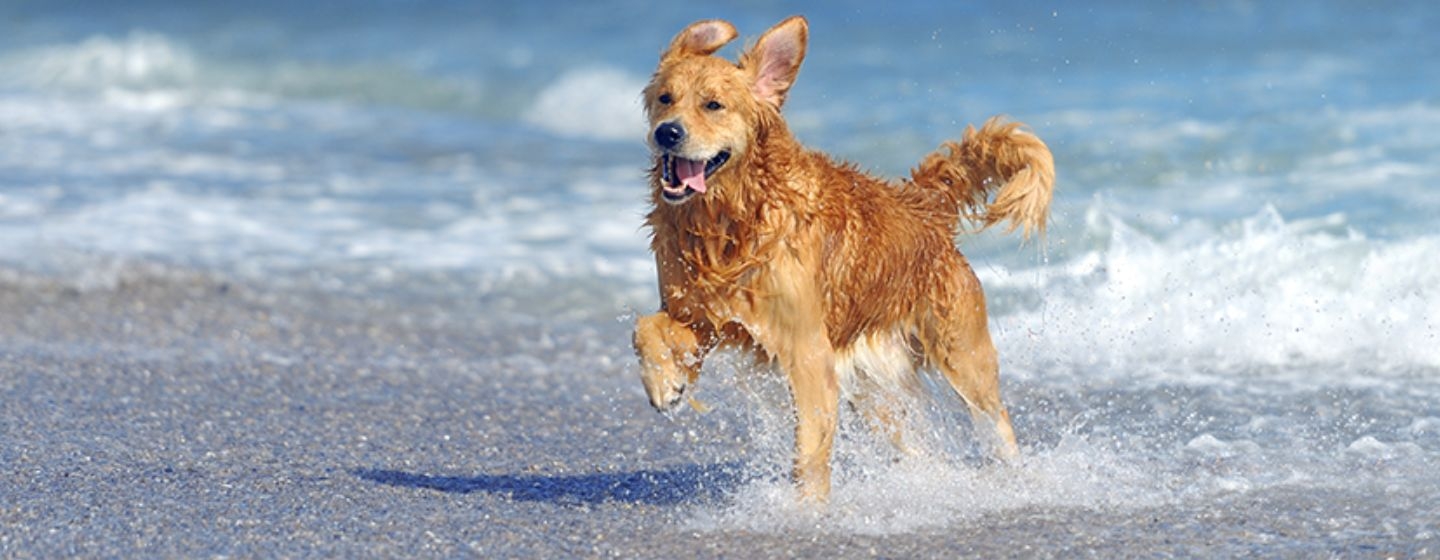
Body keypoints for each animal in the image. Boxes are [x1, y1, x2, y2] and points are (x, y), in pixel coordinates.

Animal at [636, 15, 1054, 500]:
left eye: (713, 105)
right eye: (665, 99)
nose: (667, 132)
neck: (731, 220)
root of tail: (923, 206)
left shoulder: (806, 349)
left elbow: (810, 449)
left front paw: (806, 508)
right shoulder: (705, 318)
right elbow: (646, 326)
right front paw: (665, 383)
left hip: (962, 356)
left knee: (996, 421)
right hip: (874, 389)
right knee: (913, 443)